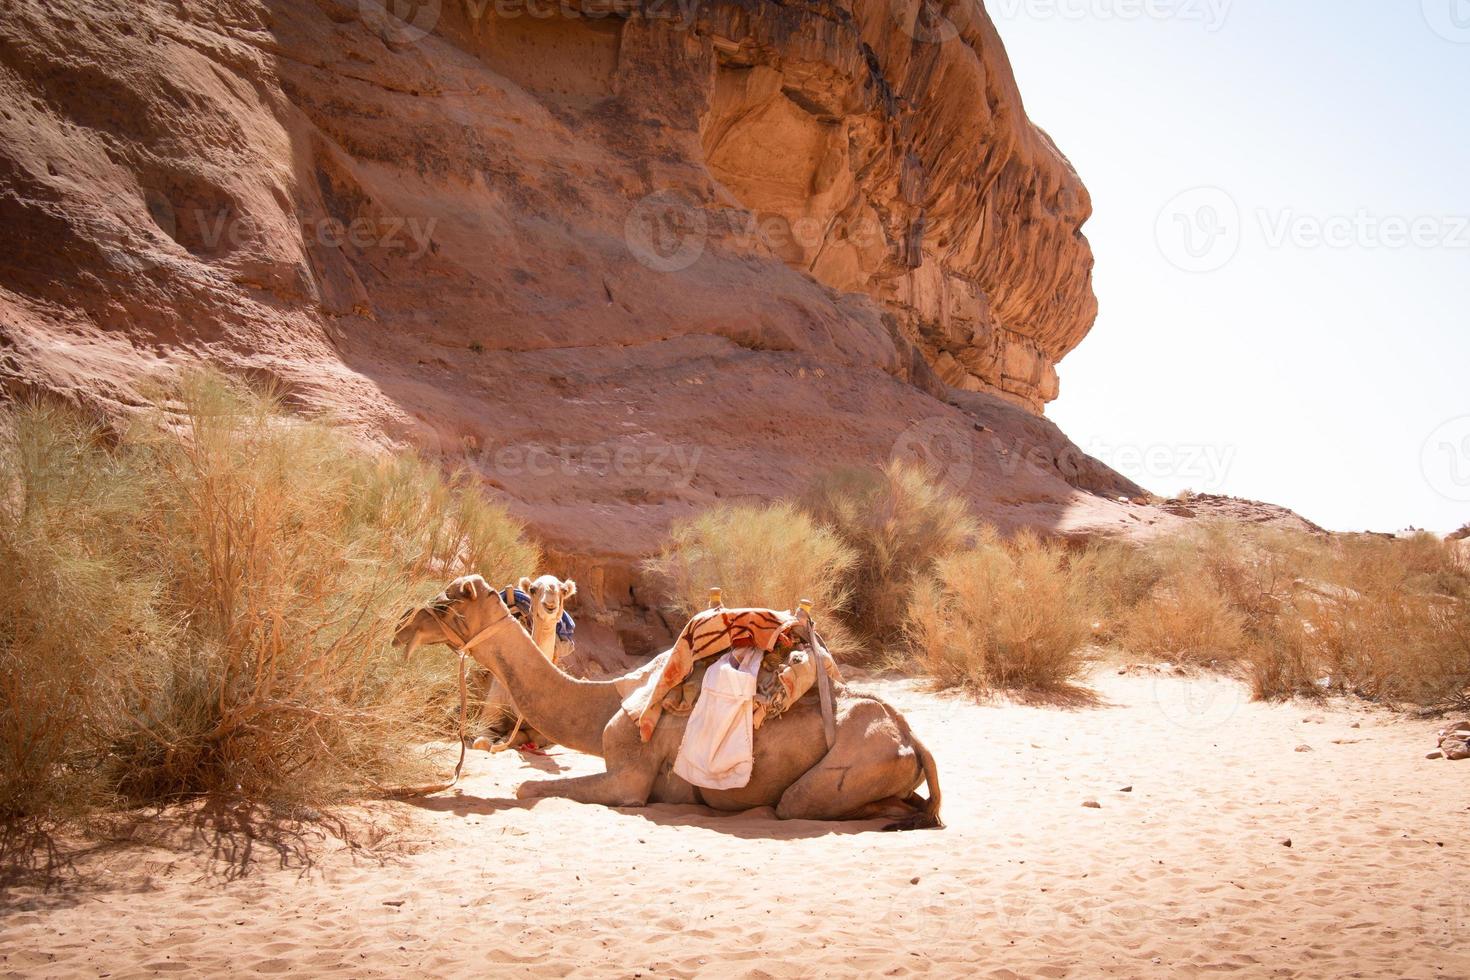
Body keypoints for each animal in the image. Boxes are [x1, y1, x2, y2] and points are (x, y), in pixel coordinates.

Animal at [393, 575, 940, 828]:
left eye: (448, 601)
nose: (401, 628)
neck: (603, 705)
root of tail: (911, 738)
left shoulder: (629, 778)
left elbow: (528, 787)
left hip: (844, 770)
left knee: (800, 802)